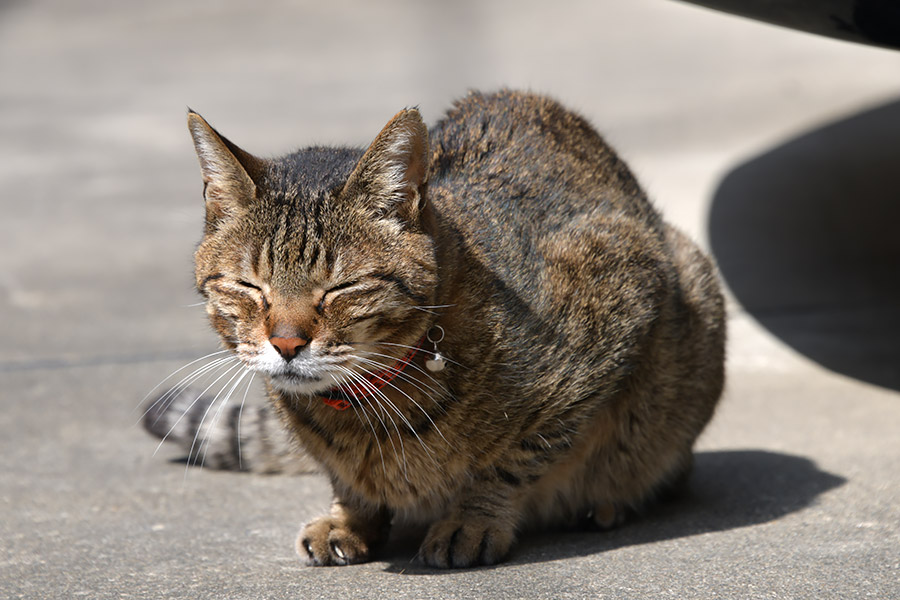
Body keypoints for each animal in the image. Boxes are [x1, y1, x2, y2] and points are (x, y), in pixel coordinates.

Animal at [174, 89, 724, 568]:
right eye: (249, 286)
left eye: (341, 287)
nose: (286, 343)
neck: (360, 410)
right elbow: (343, 477)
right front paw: (349, 518)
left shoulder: (618, 300)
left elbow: (516, 455)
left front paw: (472, 521)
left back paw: (612, 501)